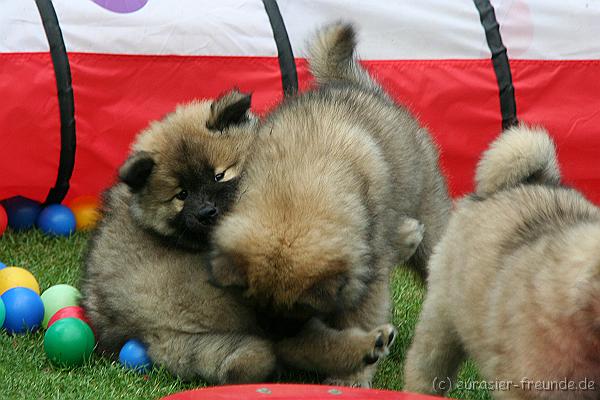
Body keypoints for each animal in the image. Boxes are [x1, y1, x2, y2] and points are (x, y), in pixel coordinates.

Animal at [209, 22, 448, 388]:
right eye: (255, 304)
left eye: (301, 309)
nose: (279, 337)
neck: (294, 194)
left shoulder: (366, 275)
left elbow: (362, 314)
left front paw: (350, 379)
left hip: (429, 215)